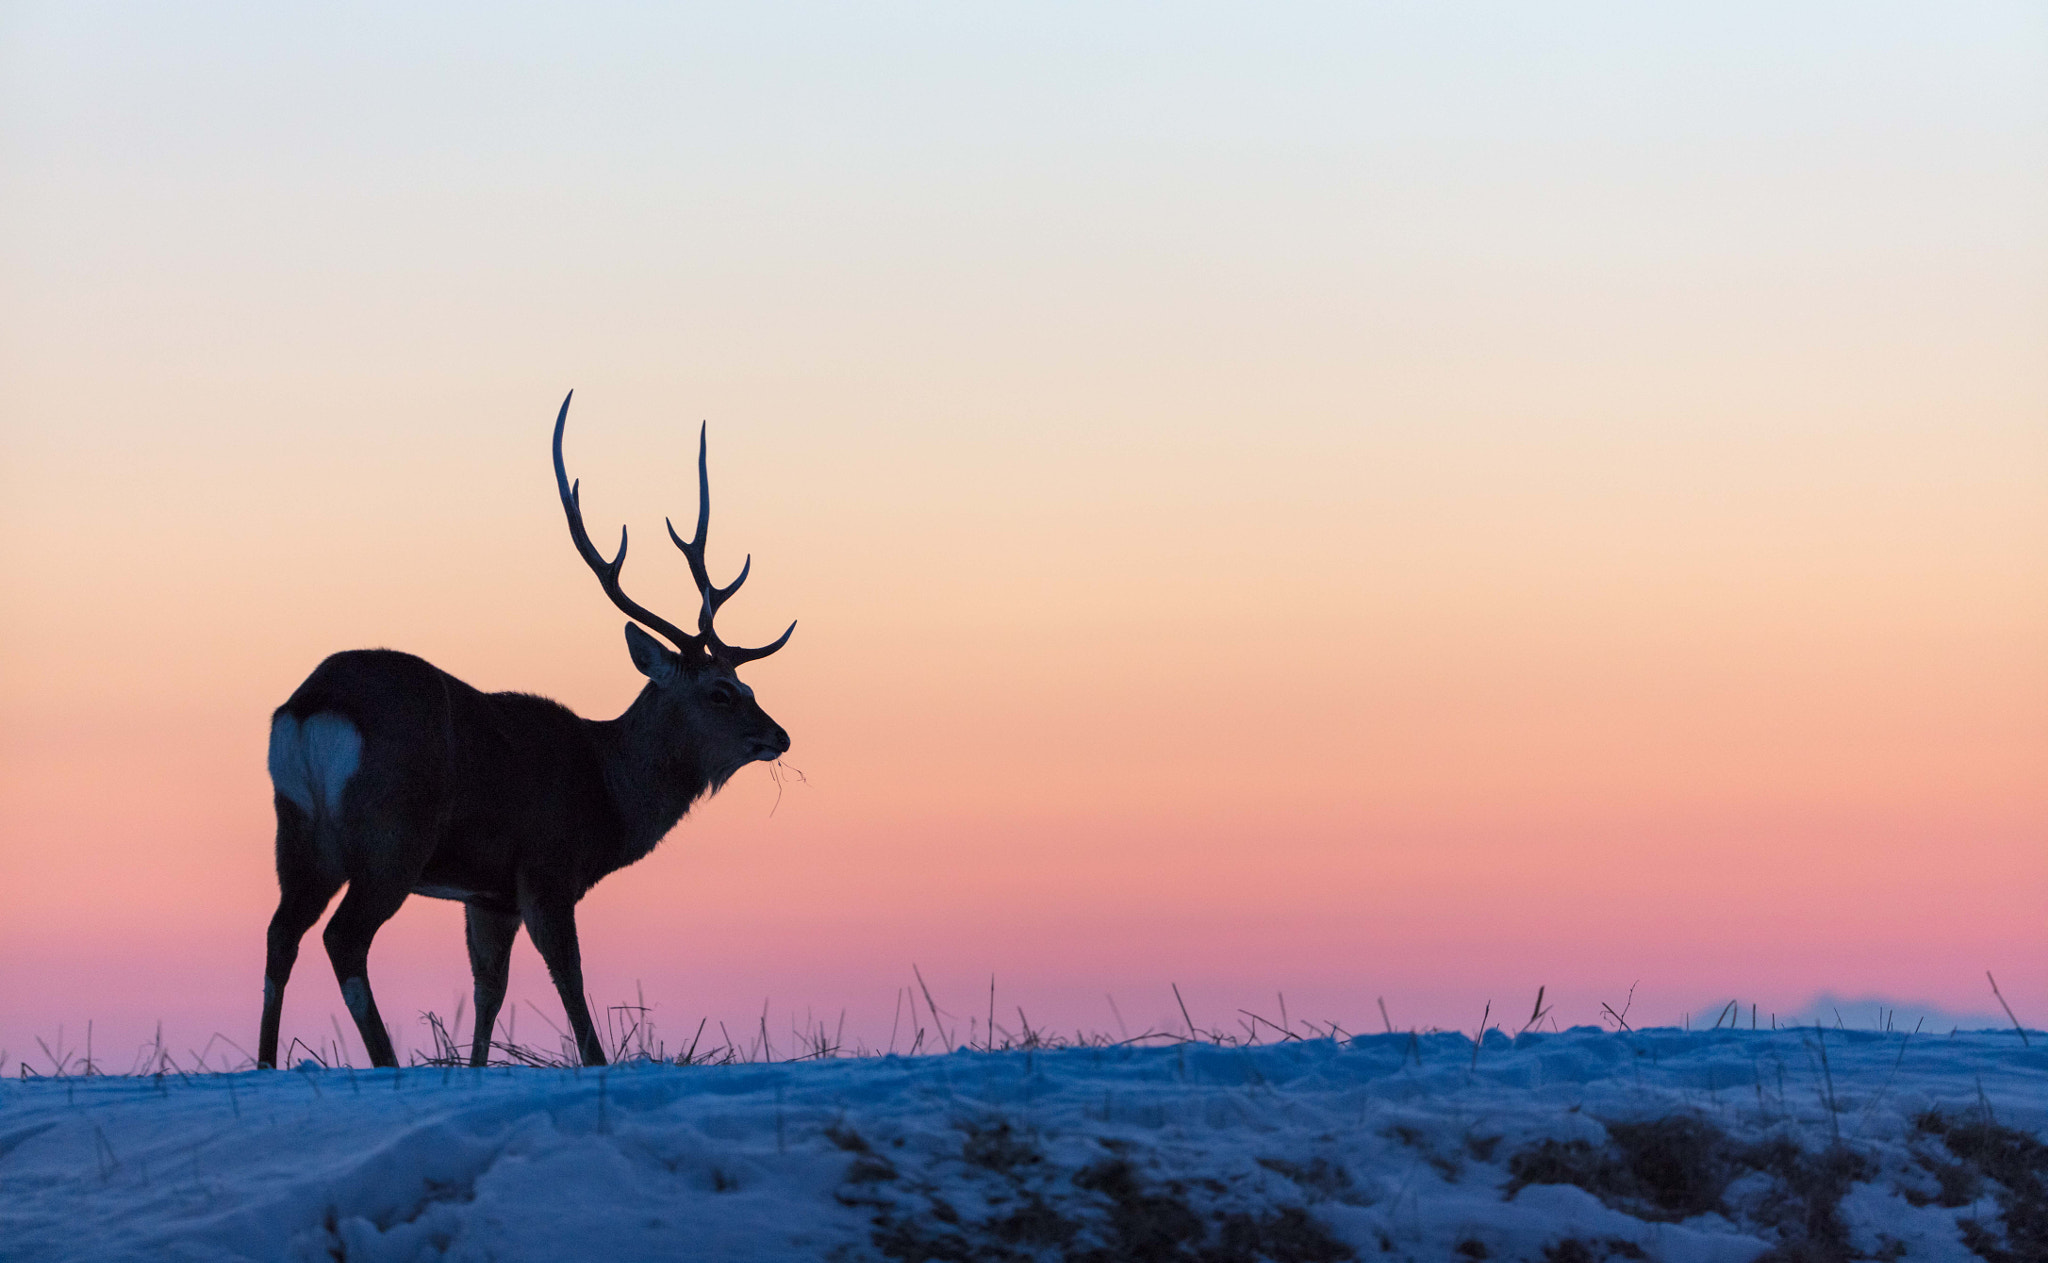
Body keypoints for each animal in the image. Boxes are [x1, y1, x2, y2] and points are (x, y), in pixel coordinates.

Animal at [253, 390, 790, 1064]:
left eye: (750, 687)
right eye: (721, 693)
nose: (779, 736)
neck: (608, 793)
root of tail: (310, 707)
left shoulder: (490, 897)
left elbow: (489, 991)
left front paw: (477, 1068)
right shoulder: (546, 867)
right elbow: (570, 978)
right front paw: (595, 1061)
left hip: (298, 832)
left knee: (280, 934)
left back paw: (266, 1064)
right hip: (392, 833)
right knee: (343, 938)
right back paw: (385, 1063)